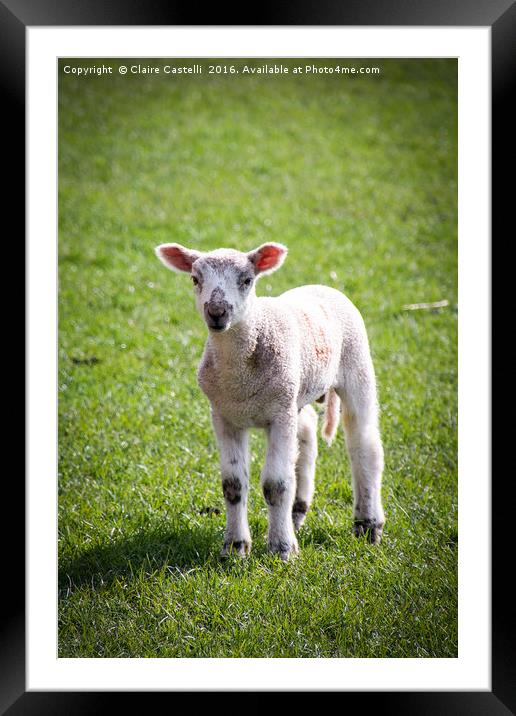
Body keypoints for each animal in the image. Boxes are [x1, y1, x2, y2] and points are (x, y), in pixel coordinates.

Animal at [155, 241, 384, 560]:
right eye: (195, 279)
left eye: (247, 280)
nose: (216, 311)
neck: (241, 379)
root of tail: (322, 286)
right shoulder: (224, 414)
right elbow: (233, 485)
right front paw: (235, 548)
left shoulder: (279, 414)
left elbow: (276, 484)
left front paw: (281, 549)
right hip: (296, 392)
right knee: (307, 437)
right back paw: (298, 513)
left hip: (356, 365)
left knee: (365, 445)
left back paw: (368, 524)